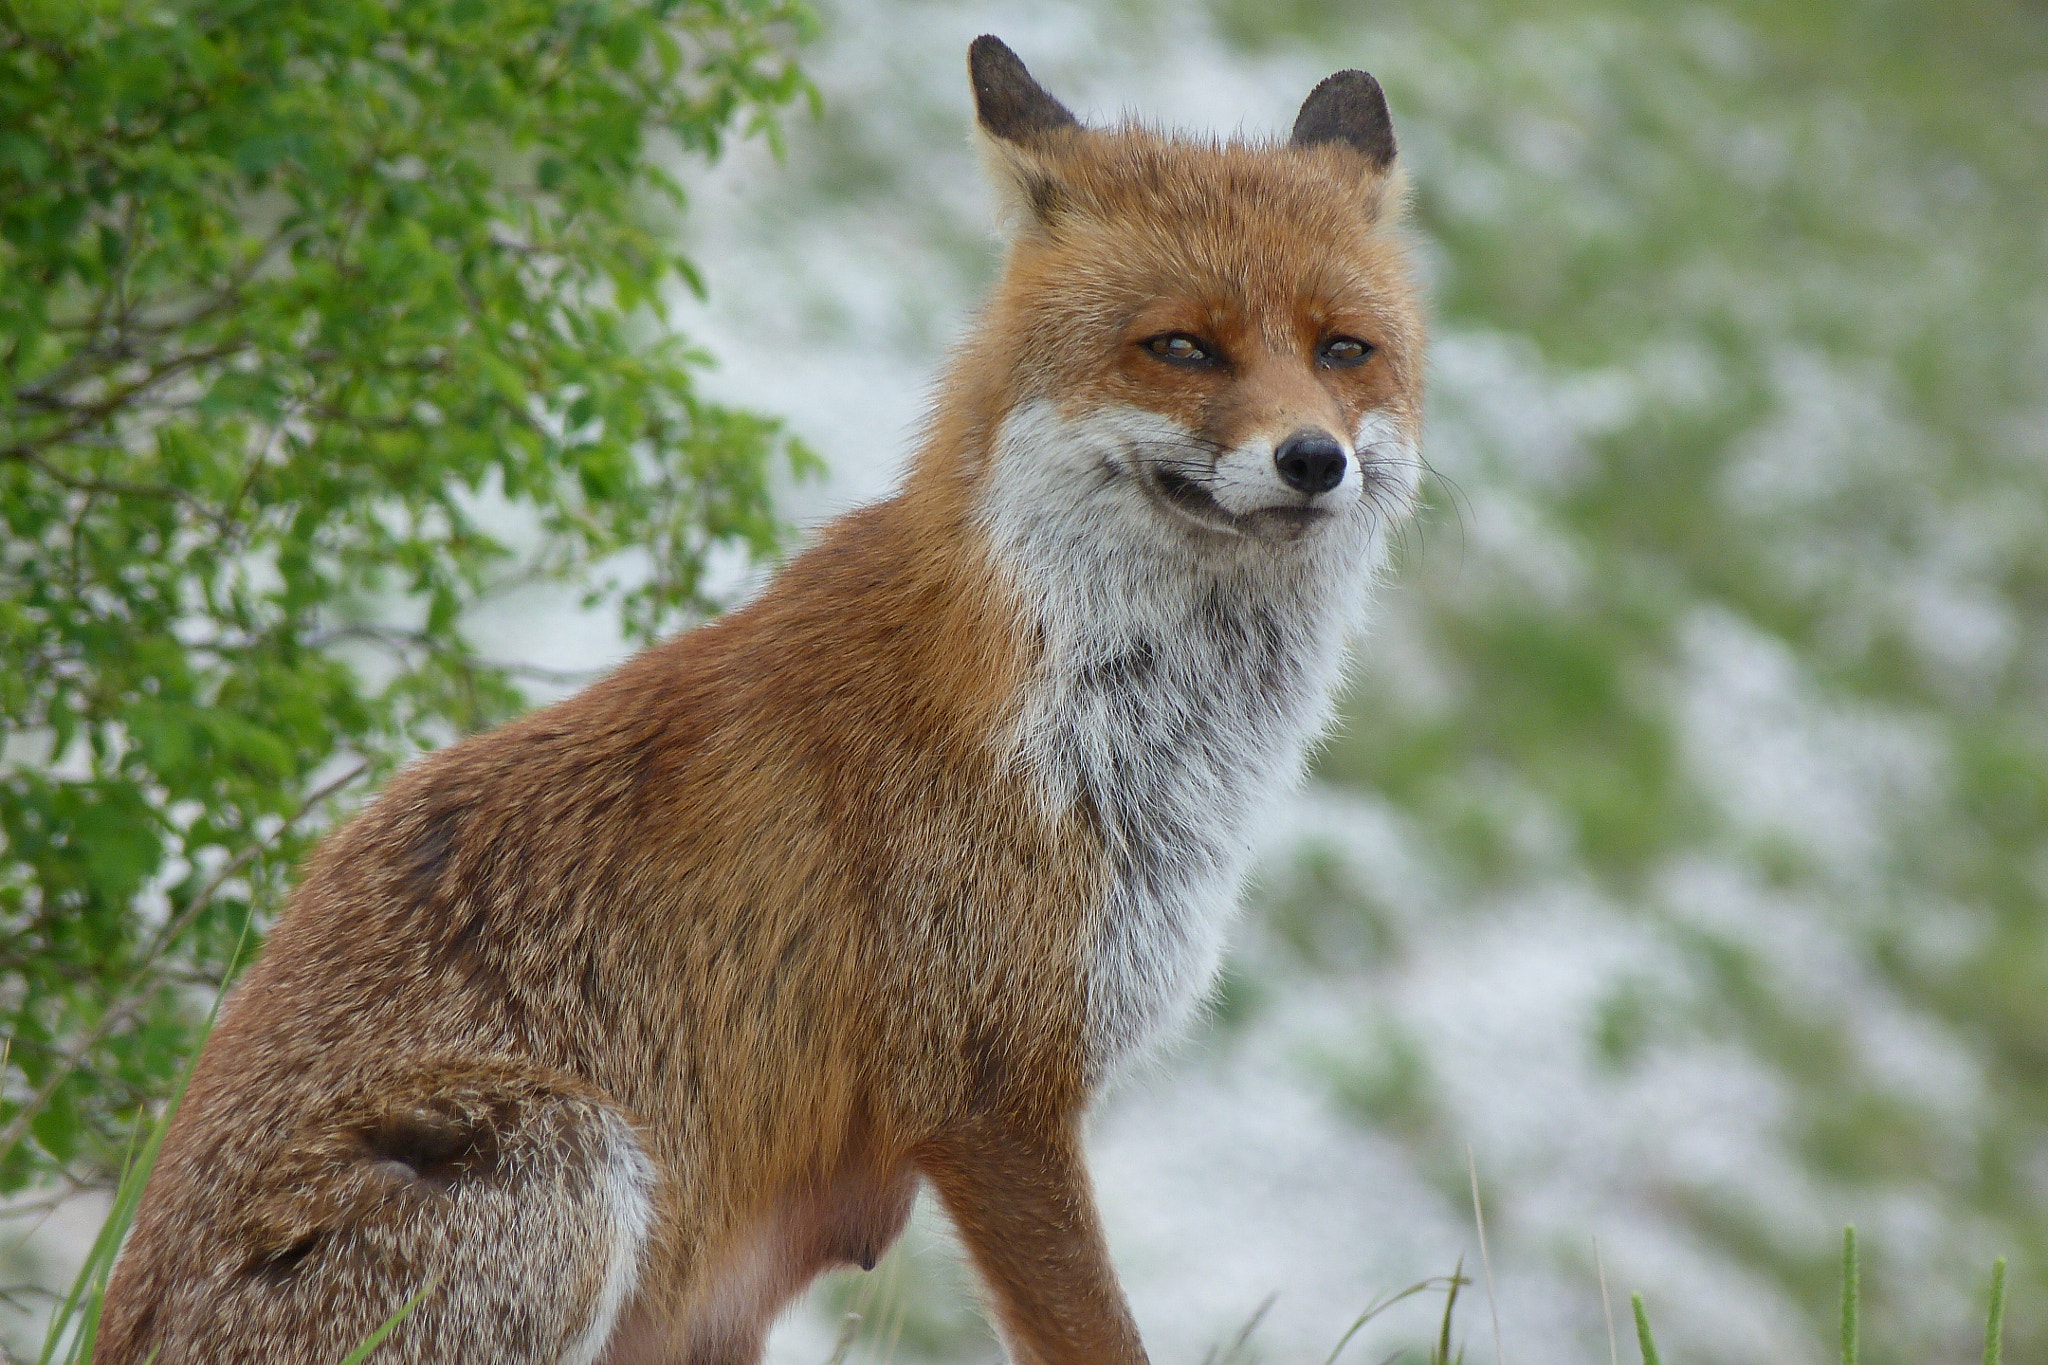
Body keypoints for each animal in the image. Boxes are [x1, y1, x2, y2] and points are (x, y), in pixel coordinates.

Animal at [94, 35, 1424, 1365]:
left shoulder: (750, 1276)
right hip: (573, 1160)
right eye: (1182, 347)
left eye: (1342, 351)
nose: (1312, 459)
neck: (1109, 723)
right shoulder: (982, 1091)